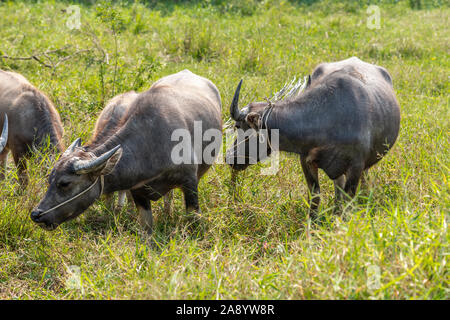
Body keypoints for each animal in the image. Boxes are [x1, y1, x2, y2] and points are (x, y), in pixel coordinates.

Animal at [29, 70, 223, 232]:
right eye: (49, 180)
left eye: (65, 183)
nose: (36, 215)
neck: (150, 144)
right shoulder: (138, 193)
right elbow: (146, 230)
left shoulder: (190, 183)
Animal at [229, 57, 400, 215]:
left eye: (238, 126)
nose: (229, 157)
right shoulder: (306, 161)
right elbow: (315, 195)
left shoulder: (356, 166)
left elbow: (348, 199)